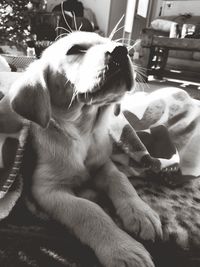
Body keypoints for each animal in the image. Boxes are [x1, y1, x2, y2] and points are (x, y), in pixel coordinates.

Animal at [7, 31, 162, 267]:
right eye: (75, 49)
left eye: (114, 43)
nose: (121, 50)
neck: (83, 132)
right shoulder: (47, 189)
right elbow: (89, 210)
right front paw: (123, 249)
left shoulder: (104, 164)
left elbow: (121, 180)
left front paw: (141, 212)